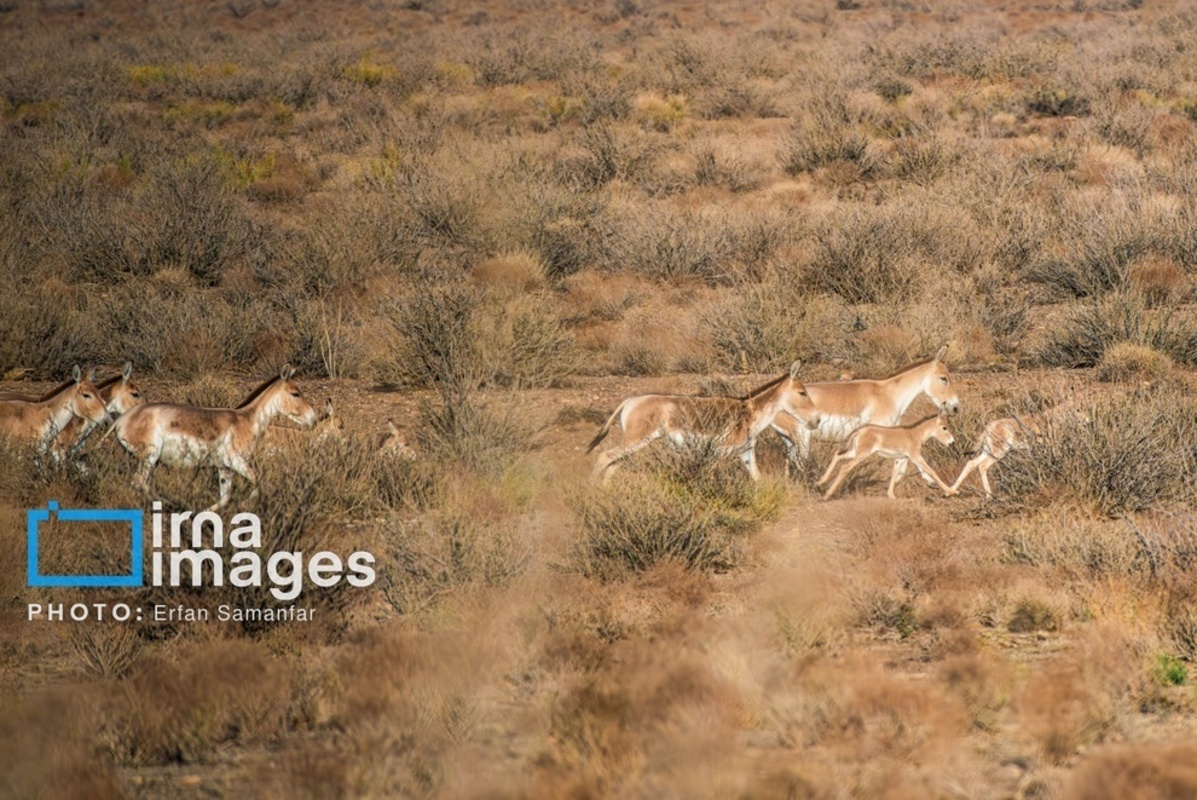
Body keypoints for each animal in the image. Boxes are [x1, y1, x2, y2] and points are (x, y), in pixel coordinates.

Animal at [115, 366, 318, 512]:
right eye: (295, 393)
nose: (314, 419)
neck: (246, 421)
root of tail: (121, 420)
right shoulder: (236, 461)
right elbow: (260, 481)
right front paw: (244, 505)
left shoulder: (224, 468)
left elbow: (225, 498)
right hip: (150, 456)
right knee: (139, 483)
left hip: (151, 461)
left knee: (142, 484)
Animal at [588, 361, 823, 481]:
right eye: (802, 393)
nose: (817, 420)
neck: (749, 413)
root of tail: (630, 400)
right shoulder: (717, 451)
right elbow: (707, 476)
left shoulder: (745, 452)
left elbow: (758, 479)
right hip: (637, 439)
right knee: (603, 457)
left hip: (636, 442)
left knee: (613, 463)